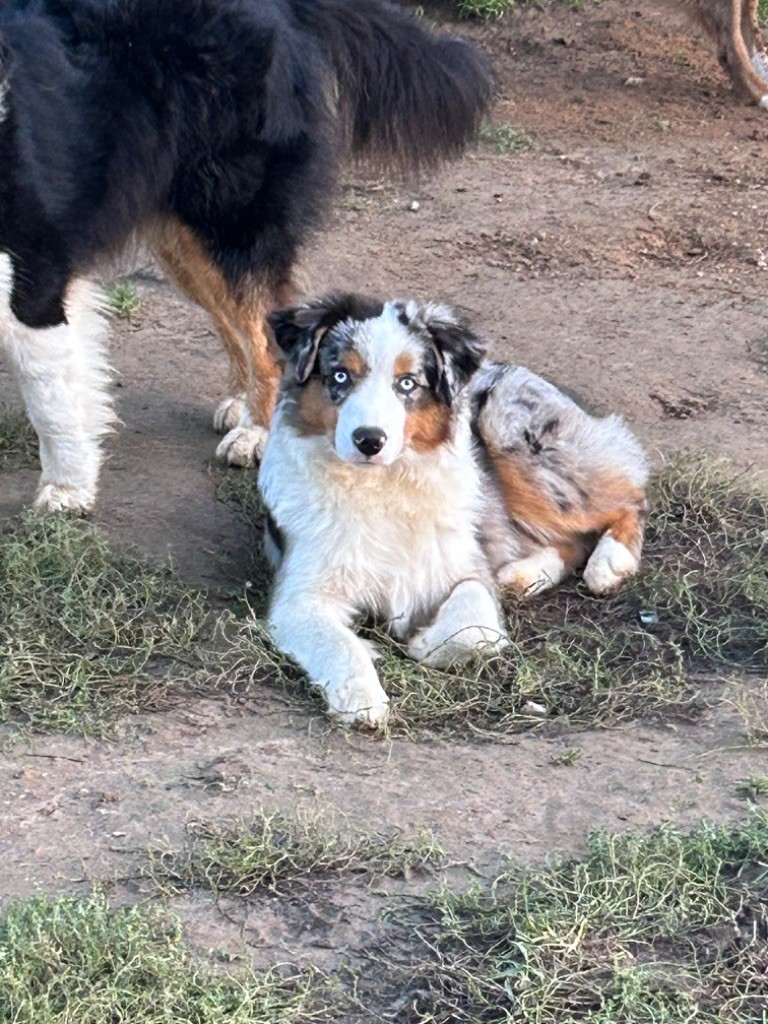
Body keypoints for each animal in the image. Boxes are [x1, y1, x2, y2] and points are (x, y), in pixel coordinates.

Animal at [0, 0, 493, 512]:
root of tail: (277, 6)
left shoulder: (35, 281)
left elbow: (51, 402)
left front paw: (67, 490)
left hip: (229, 223)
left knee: (265, 334)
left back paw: (256, 432)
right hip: (185, 238)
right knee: (239, 323)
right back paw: (243, 402)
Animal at [260, 294, 651, 729]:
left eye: (407, 383)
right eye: (340, 376)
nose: (369, 440)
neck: (381, 485)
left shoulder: (463, 564)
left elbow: (476, 623)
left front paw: (426, 643)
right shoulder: (299, 596)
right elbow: (339, 644)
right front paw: (362, 698)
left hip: (511, 434)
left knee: (628, 495)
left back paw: (610, 562)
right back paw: (522, 575)